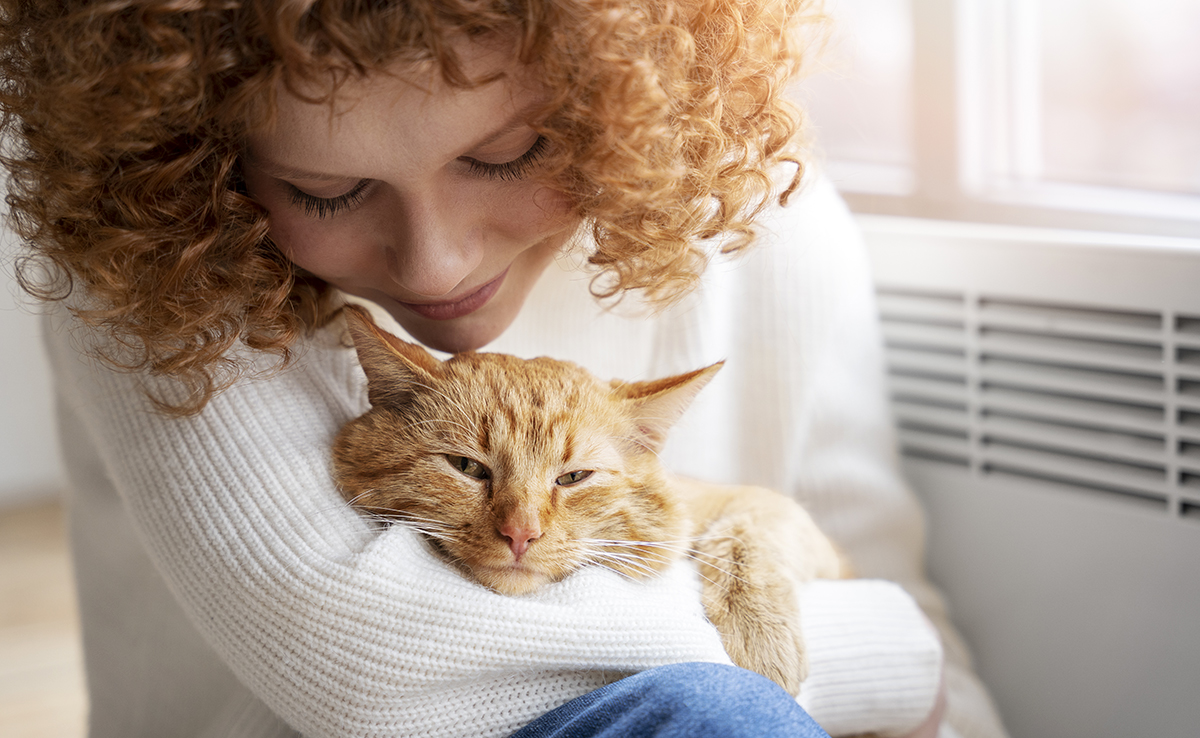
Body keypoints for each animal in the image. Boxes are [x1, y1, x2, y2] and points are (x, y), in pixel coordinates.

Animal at [333, 304, 849, 691]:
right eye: (468, 467)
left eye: (573, 477)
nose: (520, 534)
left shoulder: (779, 519)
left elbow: (750, 533)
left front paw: (760, 632)